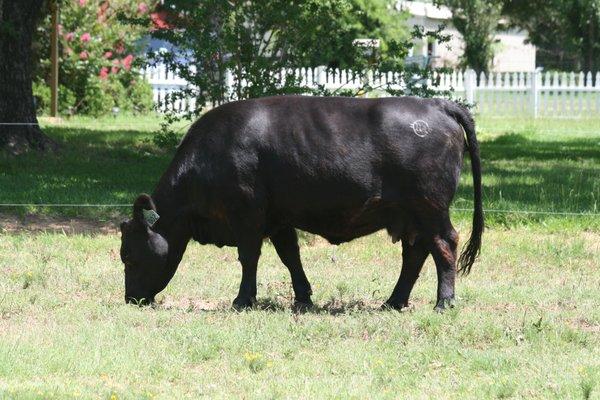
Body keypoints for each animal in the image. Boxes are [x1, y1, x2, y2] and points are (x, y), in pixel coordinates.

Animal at [118, 95, 482, 310]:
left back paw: (444, 302)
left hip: (430, 207)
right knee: (415, 253)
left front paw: (242, 300)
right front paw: (303, 298)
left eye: (129, 256)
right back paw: (393, 302)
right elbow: (290, 256)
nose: (131, 298)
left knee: (444, 244)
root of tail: (437, 105)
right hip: (409, 215)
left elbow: (248, 257)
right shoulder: (278, 218)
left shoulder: (246, 214)